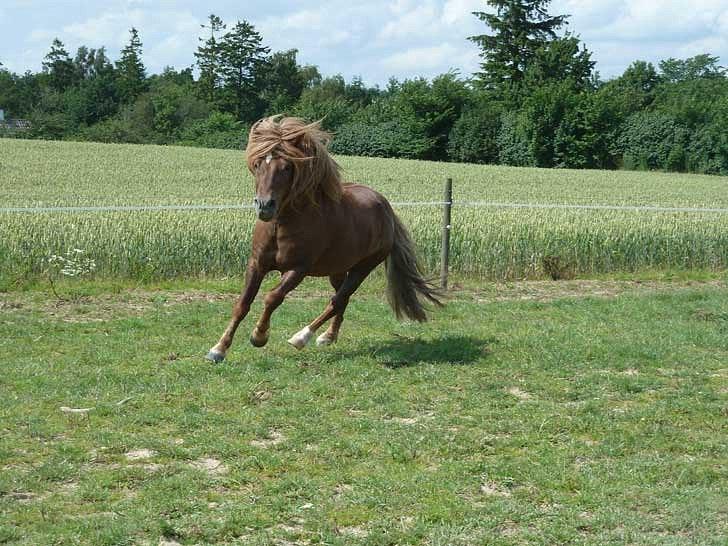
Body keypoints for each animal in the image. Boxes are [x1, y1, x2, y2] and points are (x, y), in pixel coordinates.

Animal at [208, 115, 440, 362]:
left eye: (287, 167)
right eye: (259, 163)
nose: (265, 206)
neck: (283, 225)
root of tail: (386, 209)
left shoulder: (298, 269)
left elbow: (273, 298)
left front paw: (259, 336)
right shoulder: (257, 263)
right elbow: (243, 303)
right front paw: (218, 349)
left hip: (363, 267)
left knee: (338, 299)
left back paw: (302, 337)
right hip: (338, 269)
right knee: (341, 299)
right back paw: (328, 337)